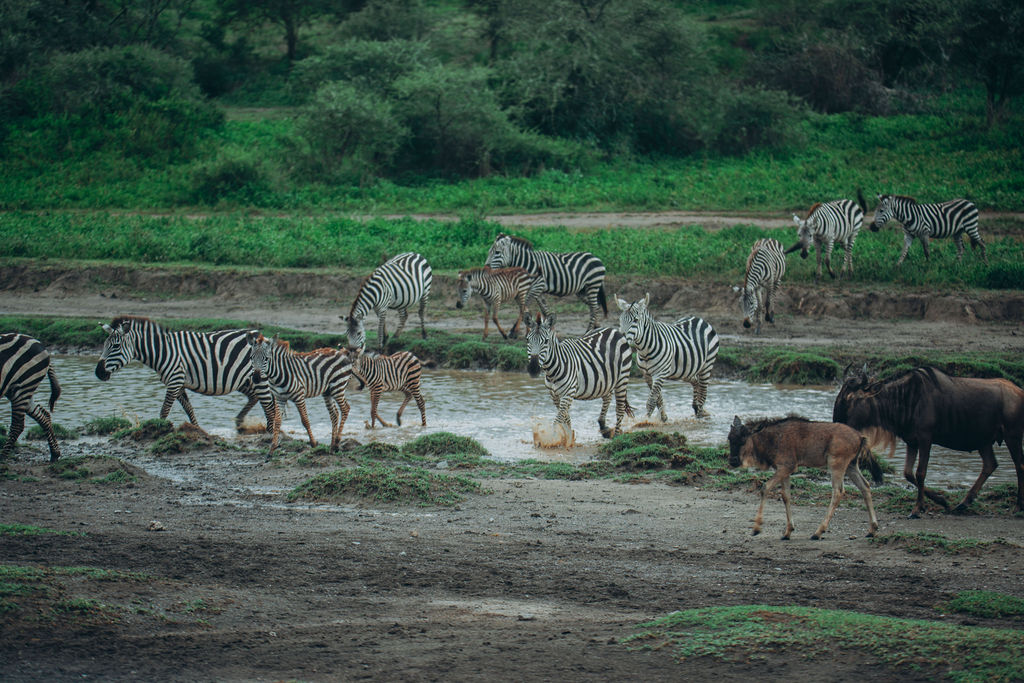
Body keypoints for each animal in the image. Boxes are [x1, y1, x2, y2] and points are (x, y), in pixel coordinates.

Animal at [1, 333, 62, 462]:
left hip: (22, 386)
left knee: (17, 426)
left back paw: (2, 458)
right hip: (22, 388)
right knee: (44, 416)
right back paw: (55, 453)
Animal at [95, 316, 279, 450]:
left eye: (116, 346)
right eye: (104, 345)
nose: (98, 373)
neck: (162, 351)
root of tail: (259, 335)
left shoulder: (174, 380)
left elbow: (164, 411)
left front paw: (158, 432)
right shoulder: (179, 383)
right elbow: (189, 410)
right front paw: (199, 432)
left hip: (256, 377)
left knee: (269, 404)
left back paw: (270, 434)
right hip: (244, 379)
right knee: (257, 398)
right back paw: (242, 424)